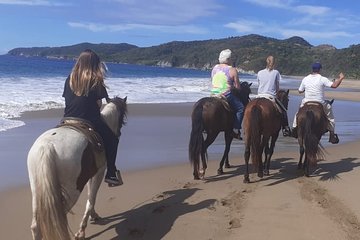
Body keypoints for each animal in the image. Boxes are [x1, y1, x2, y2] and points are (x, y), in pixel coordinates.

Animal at [27, 96, 127, 239]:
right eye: (123, 116)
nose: (118, 133)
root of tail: (48, 146)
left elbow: (90, 196)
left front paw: (93, 216)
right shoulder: (99, 172)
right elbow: (91, 197)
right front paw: (82, 230)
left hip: (37, 190)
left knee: (36, 225)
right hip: (72, 190)